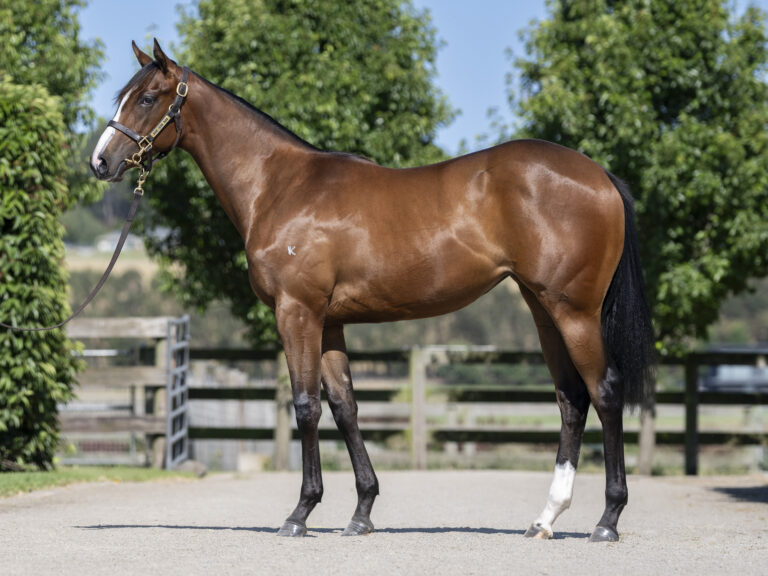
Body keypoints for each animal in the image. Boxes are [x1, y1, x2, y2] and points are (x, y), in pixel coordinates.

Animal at [90, 40, 656, 540]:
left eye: (147, 98)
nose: (100, 161)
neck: (280, 186)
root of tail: (599, 176)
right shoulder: (330, 321)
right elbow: (345, 407)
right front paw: (361, 512)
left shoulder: (297, 312)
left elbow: (306, 406)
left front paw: (300, 513)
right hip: (543, 308)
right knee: (571, 399)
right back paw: (545, 518)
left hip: (574, 311)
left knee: (605, 392)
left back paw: (608, 520)